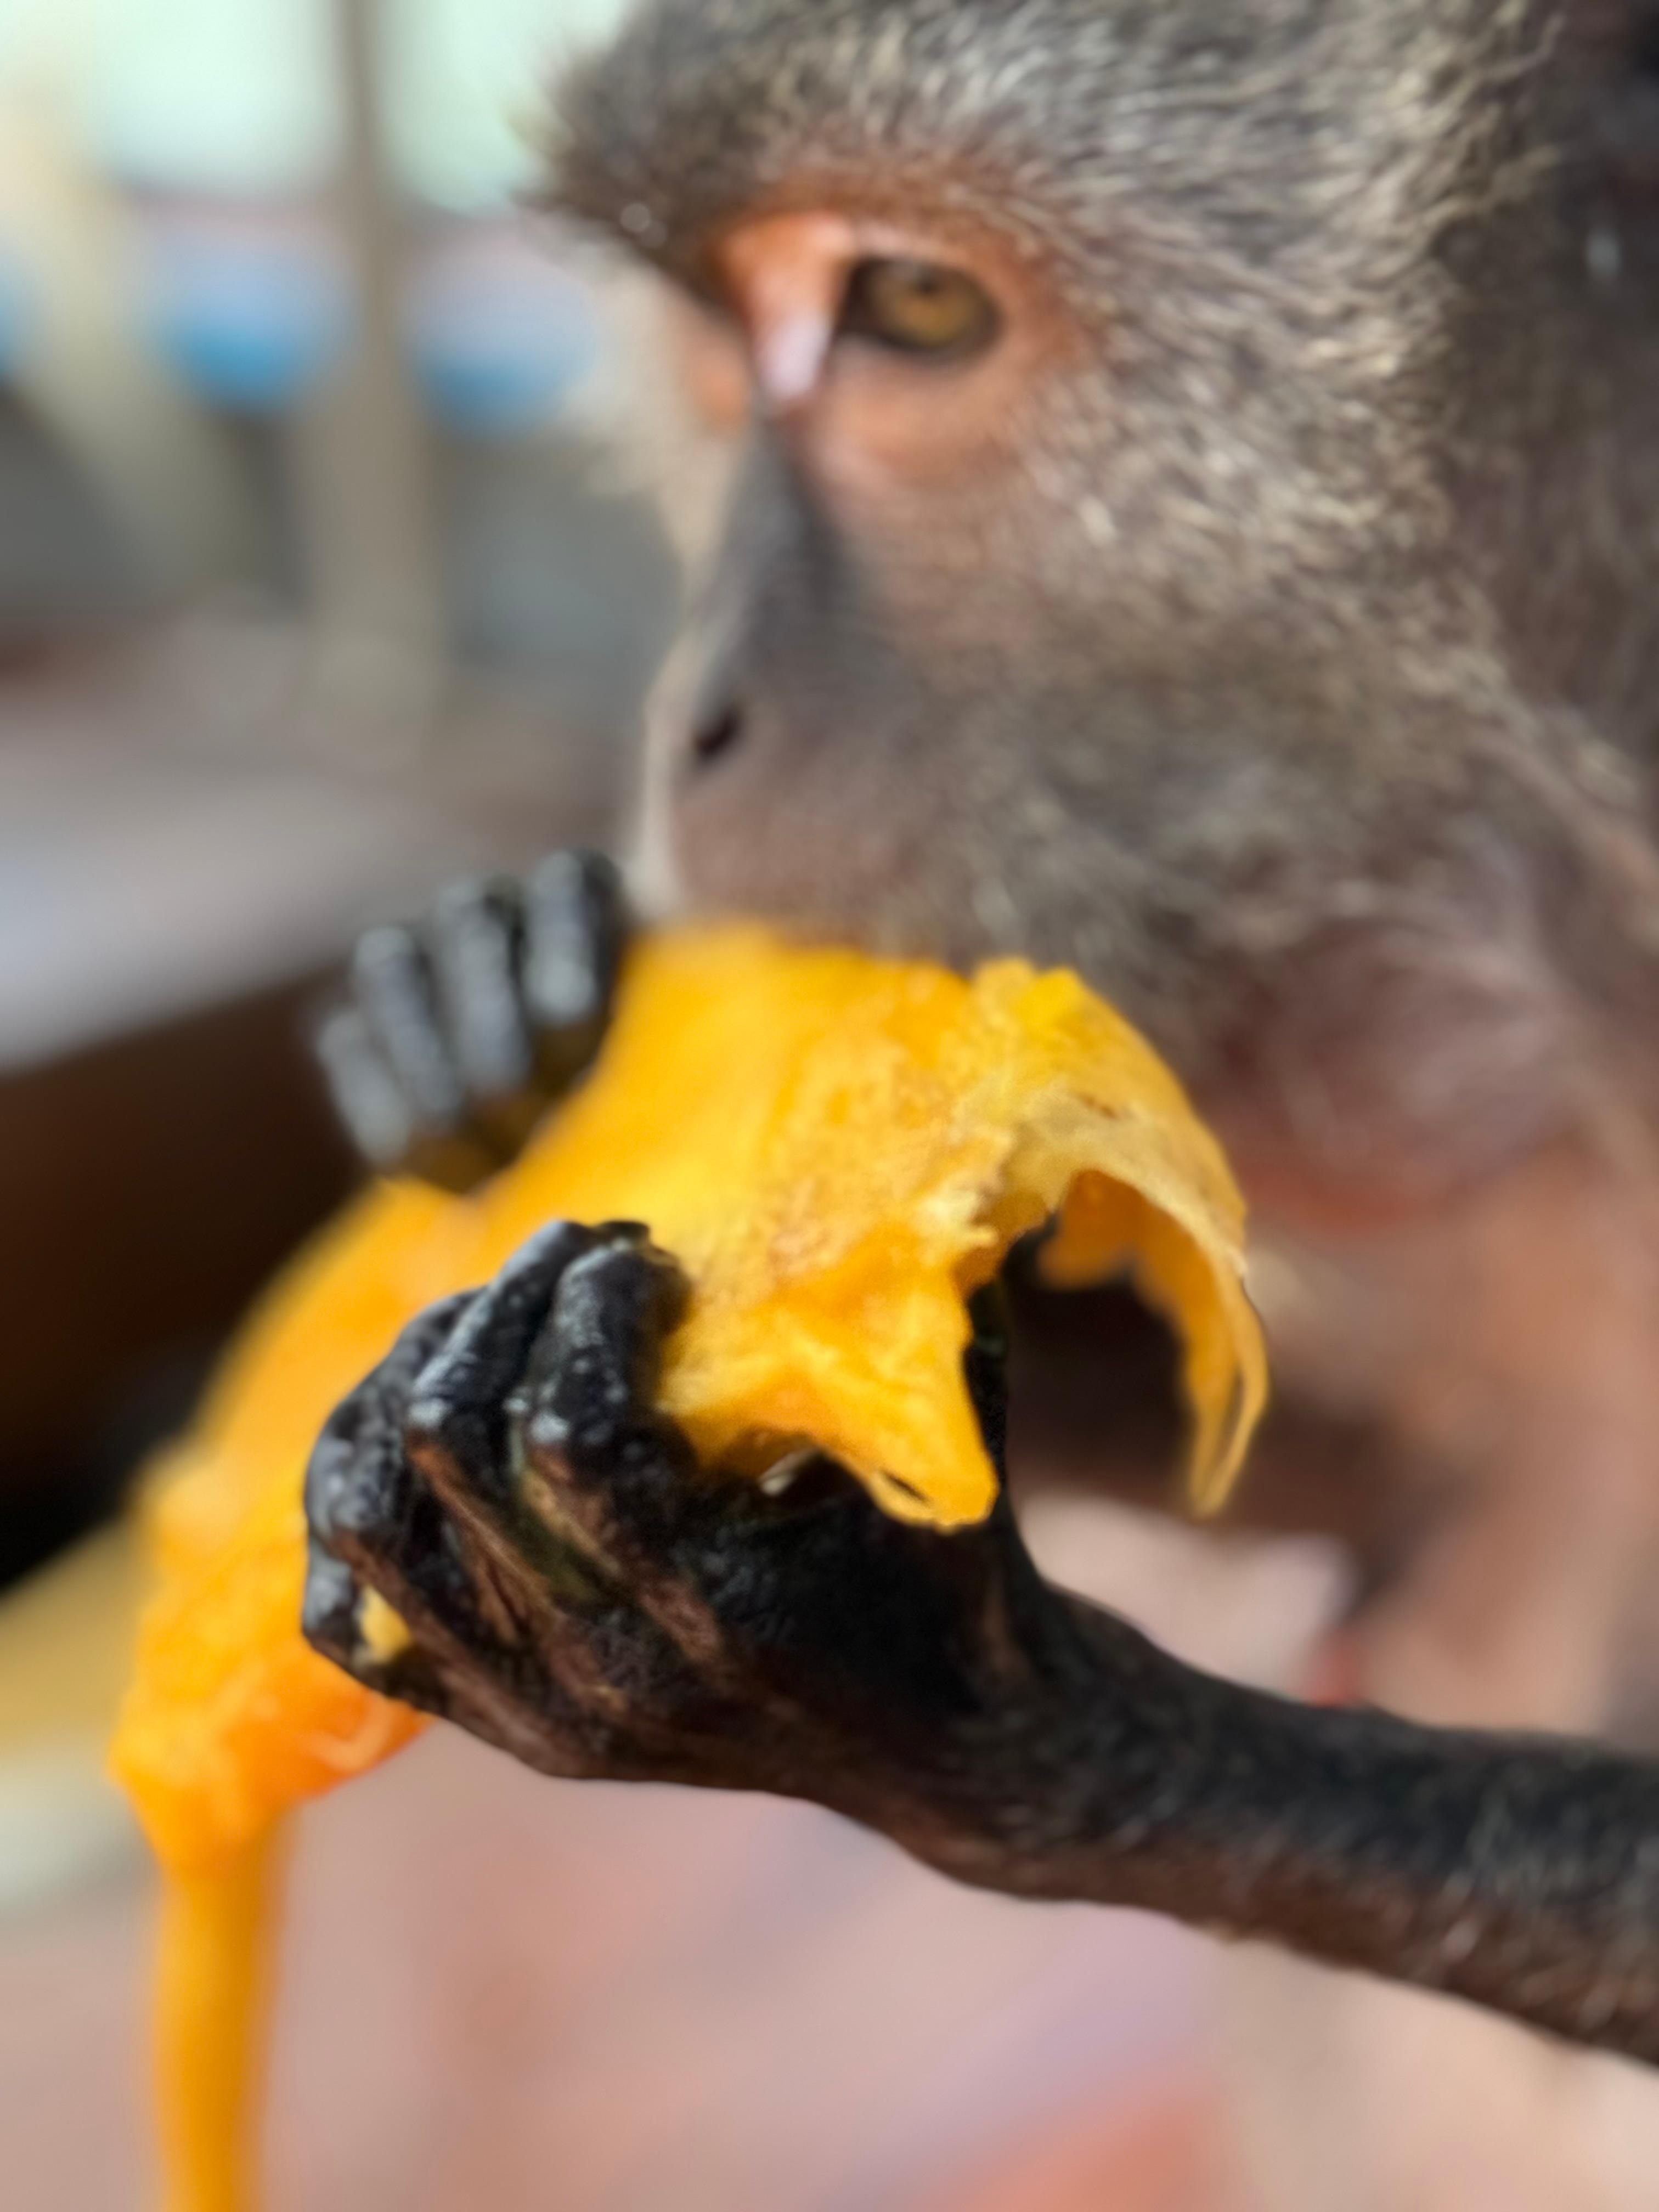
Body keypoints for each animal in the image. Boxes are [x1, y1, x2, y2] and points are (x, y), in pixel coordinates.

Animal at [303, 0, 1659, 2196]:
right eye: (721, 348)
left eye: (912, 309)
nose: (690, 714)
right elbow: (1396, 1463)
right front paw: (498, 1026)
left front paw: (985, 1715)